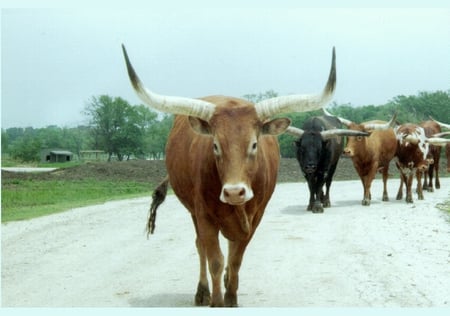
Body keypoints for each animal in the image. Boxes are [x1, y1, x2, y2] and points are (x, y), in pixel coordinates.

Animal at [121, 44, 336, 306]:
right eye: (215, 145)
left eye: (254, 144)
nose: (234, 192)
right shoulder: (204, 215)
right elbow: (215, 259)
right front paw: (217, 300)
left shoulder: (255, 217)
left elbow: (235, 259)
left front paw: (231, 297)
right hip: (194, 212)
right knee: (200, 246)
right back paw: (202, 292)